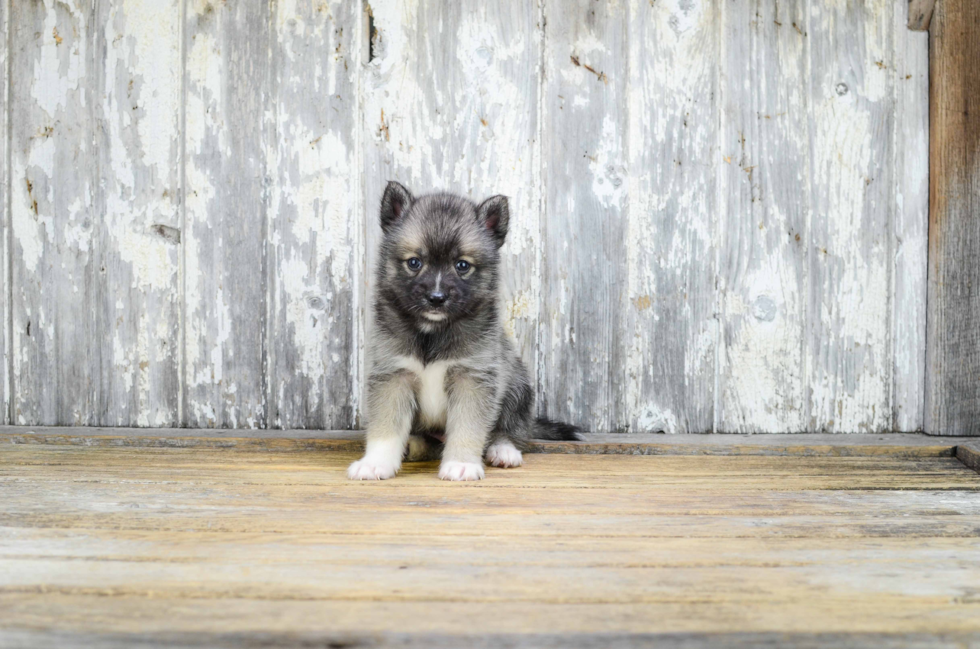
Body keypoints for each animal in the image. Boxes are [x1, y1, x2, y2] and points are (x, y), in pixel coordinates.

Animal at [348, 182, 580, 480]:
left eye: (462, 265)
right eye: (414, 262)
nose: (436, 298)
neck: (432, 331)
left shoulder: (472, 379)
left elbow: (468, 428)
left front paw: (462, 463)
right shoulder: (394, 376)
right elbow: (386, 428)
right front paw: (376, 462)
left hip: (517, 386)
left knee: (513, 430)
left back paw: (504, 450)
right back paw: (412, 446)